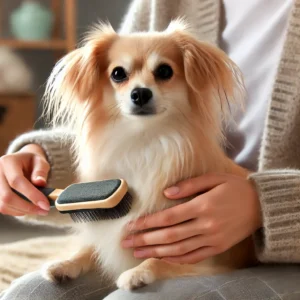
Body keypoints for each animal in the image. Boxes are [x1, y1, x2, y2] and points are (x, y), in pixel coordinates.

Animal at [42, 19, 256, 290]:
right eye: (118, 74)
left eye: (165, 71)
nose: (141, 93)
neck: (144, 142)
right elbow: (90, 247)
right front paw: (65, 263)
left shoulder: (205, 257)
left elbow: (160, 259)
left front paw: (138, 272)